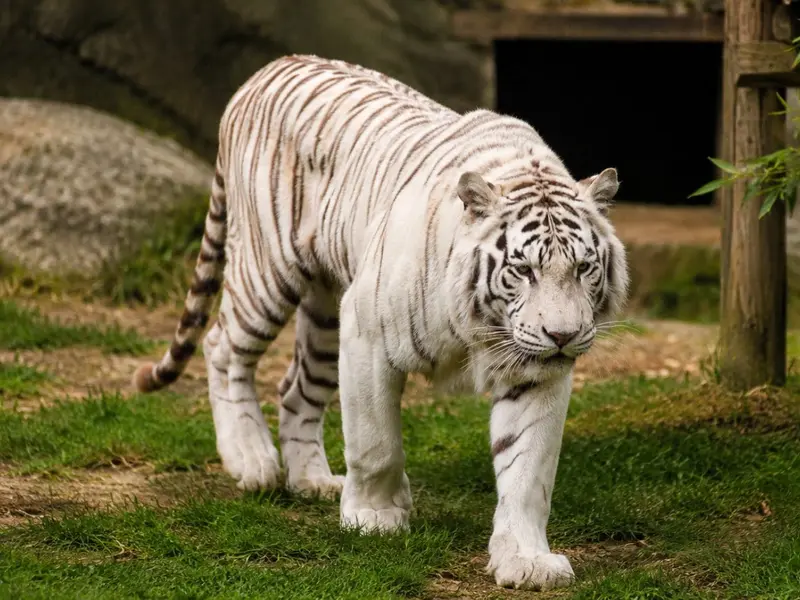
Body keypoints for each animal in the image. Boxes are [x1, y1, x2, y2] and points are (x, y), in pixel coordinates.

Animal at [132, 54, 629, 591]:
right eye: (523, 270)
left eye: (583, 268)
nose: (563, 336)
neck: (481, 325)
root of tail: (269, 68)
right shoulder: (368, 335)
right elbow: (376, 443)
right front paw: (375, 518)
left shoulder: (535, 369)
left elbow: (528, 471)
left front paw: (527, 561)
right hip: (265, 273)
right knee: (223, 349)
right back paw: (251, 460)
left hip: (326, 315)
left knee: (294, 389)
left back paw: (312, 481)